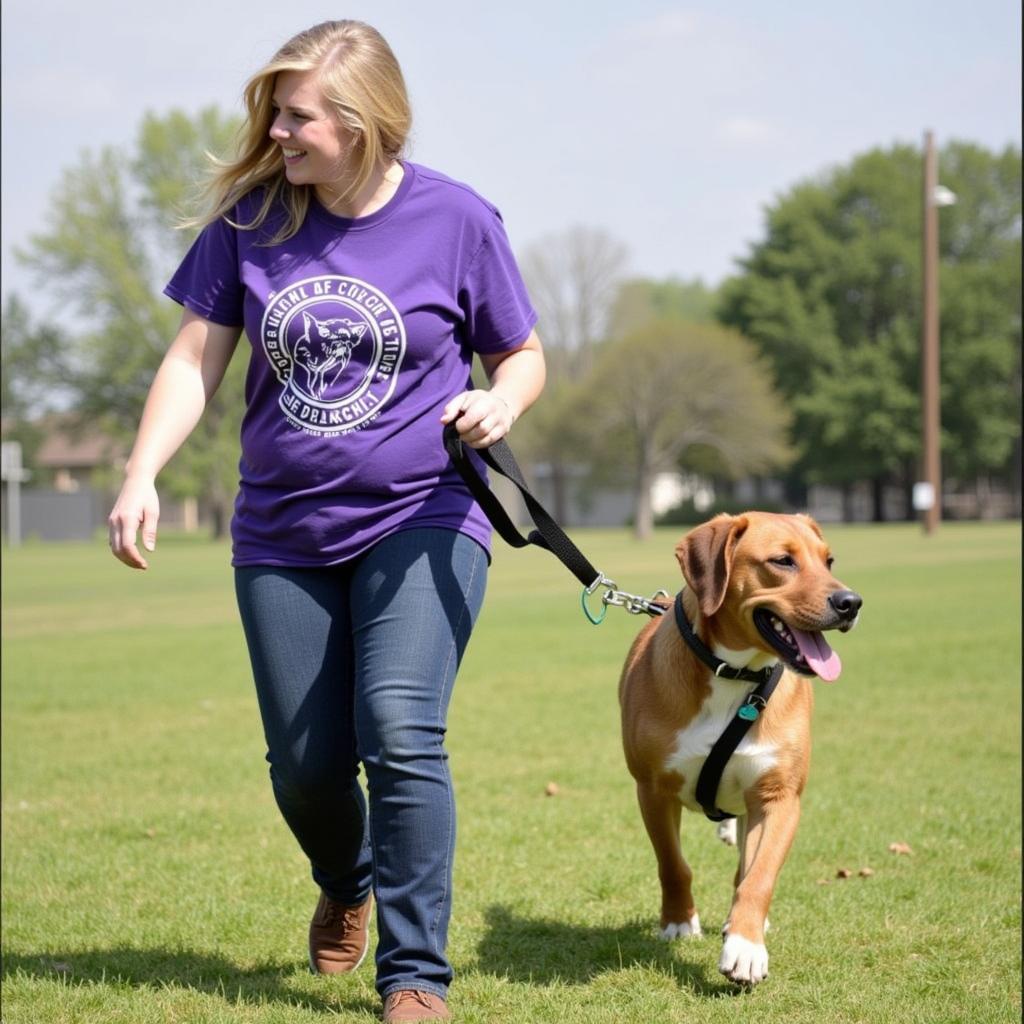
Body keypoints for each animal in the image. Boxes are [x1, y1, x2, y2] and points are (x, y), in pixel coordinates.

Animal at [618, 512, 860, 983]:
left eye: (828, 560)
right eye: (782, 561)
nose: (851, 602)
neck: (734, 673)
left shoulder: (778, 796)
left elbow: (758, 876)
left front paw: (746, 945)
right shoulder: (652, 789)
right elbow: (672, 865)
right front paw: (678, 921)